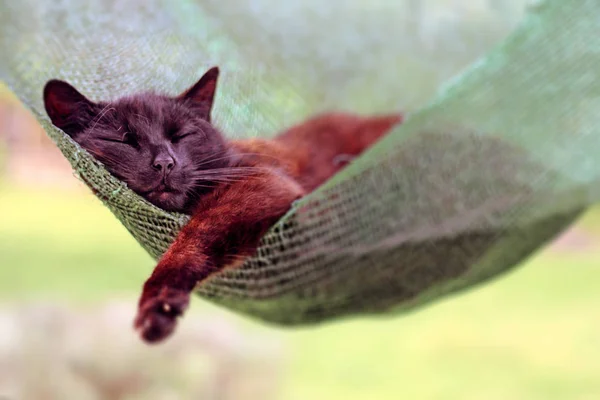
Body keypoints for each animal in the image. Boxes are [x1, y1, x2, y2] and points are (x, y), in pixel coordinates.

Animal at [43, 67, 404, 342]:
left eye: (181, 135)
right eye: (124, 139)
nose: (165, 163)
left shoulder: (261, 180)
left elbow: (197, 233)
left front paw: (159, 299)